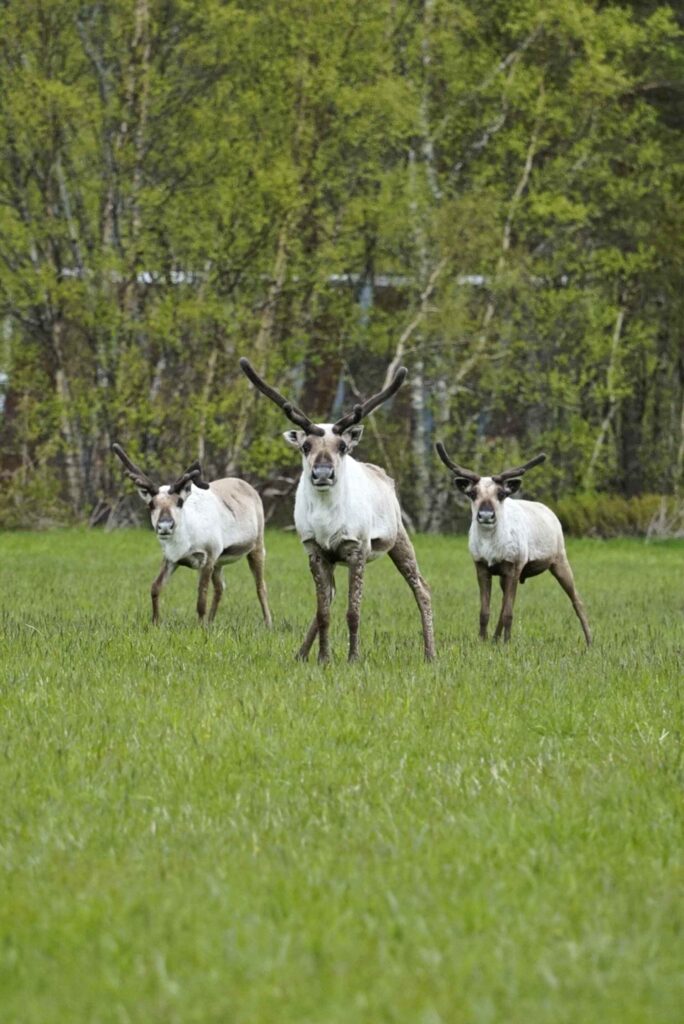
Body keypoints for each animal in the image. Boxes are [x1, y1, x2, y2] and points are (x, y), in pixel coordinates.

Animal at [112, 443, 272, 628]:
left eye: (180, 502)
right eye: (151, 504)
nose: (165, 526)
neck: (185, 543)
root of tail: (249, 487)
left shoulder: (208, 557)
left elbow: (201, 598)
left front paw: (200, 628)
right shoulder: (171, 559)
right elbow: (155, 587)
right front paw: (155, 623)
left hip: (257, 546)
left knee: (260, 586)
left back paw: (268, 624)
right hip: (220, 561)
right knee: (220, 588)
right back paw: (211, 622)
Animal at [239, 358, 435, 663]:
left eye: (342, 446)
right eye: (306, 446)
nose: (322, 473)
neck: (326, 522)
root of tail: (383, 474)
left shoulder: (357, 548)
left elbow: (353, 612)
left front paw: (353, 658)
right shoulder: (315, 550)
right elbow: (323, 613)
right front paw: (323, 658)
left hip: (399, 537)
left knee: (422, 588)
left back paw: (430, 654)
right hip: (336, 559)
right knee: (328, 599)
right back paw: (300, 654)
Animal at [435, 443, 591, 646]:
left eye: (501, 494)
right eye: (472, 493)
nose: (486, 515)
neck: (491, 547)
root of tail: (551, 512)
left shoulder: (515, 566)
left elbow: (509, 612)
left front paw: (507, 643)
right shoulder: (481, 566)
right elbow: (485, 611)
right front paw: (483, 640)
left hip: (559, 559)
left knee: (577, 599)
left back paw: (590, 641)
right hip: (506, 575)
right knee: (502, 604)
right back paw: (495, 639)